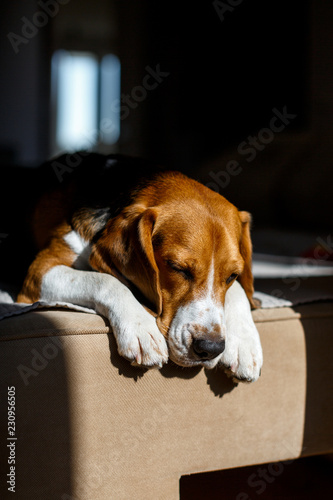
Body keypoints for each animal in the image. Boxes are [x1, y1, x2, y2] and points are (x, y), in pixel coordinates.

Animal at [16, 152, 262, 382]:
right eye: (178, 268)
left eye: (232, 276)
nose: (210, 348)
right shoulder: (41, 270)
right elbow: (107, 280)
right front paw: (140, 326)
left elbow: (241, 291)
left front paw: (244, 343)